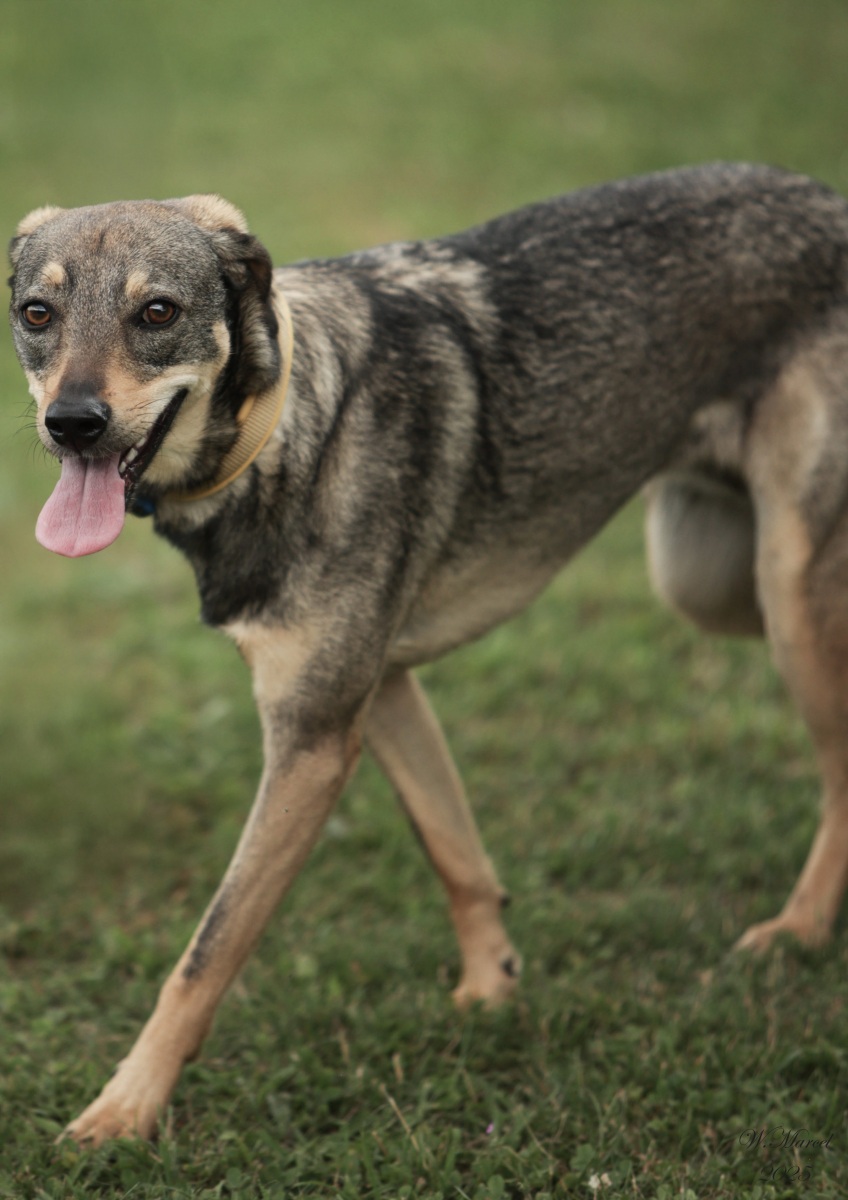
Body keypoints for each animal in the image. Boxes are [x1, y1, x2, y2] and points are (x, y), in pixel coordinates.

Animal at [9, 163, 848, 1145]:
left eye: (156, 313)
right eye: (37, 315)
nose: (72, 424)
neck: (284, 430)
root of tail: (822, 196)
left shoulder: (311, 743)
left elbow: (204, 954)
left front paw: (124, 1109)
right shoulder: (380, 692)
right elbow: (456, 853)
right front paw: (493, 989)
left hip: (785, 591)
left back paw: (799, 930)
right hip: (711, 579)